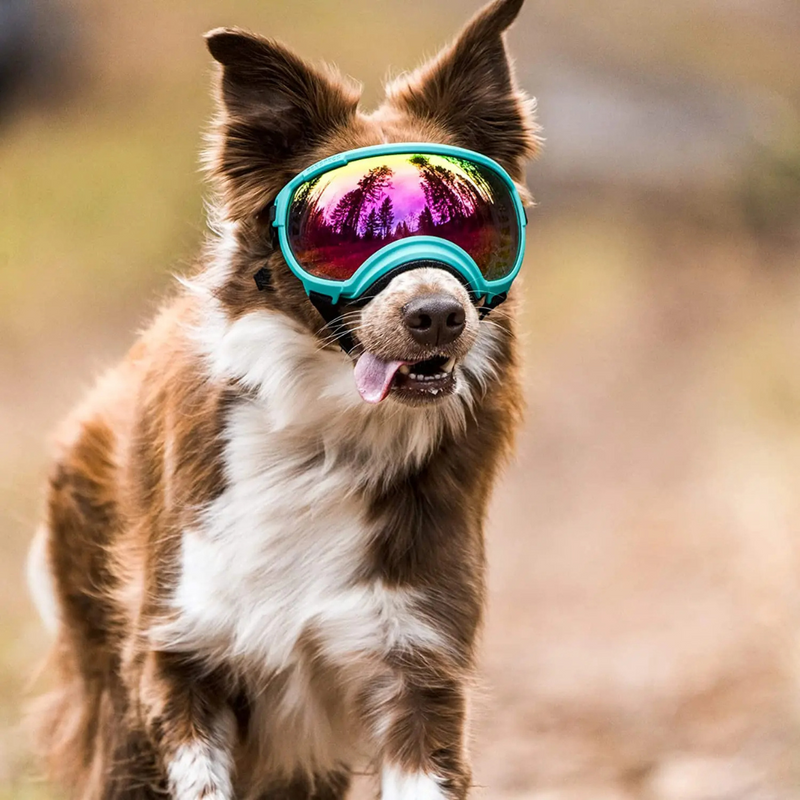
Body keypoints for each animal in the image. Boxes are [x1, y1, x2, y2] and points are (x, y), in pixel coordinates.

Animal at [26, 1, 536, 800]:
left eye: (471, 222)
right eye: (341, 233)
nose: (438, 315)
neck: (326, 440)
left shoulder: (418, 665)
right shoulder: (177, 656)